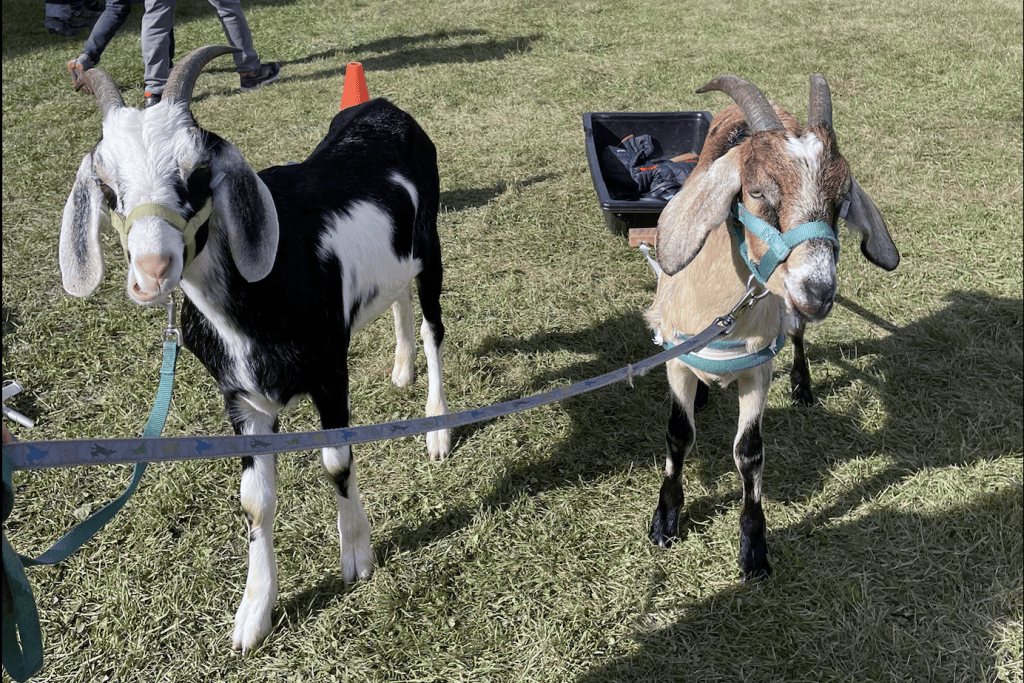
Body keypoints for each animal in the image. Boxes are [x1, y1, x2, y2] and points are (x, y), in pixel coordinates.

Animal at [58, 45, 450, 652]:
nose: (152, 271)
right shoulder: (240, 400)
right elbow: (255, 502)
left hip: (430, 244)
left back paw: (435, 426)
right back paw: (402, 368)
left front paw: (357, 555)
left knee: (433, 326)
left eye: (196, 172)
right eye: (105, 186)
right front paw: (253, 614)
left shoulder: (329, 371)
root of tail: (384, 107)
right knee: (399, 295)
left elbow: (336, 460)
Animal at [645, 75, 896, 578]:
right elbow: (679, 435)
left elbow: (749, 452)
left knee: (797, 337)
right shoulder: (675, 360)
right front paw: (665, 521)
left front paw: (754, 549)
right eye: (757, 192)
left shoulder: (757, 368)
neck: (719, 311)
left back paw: (802, 385)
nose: (819, 290)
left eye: (842, 201)